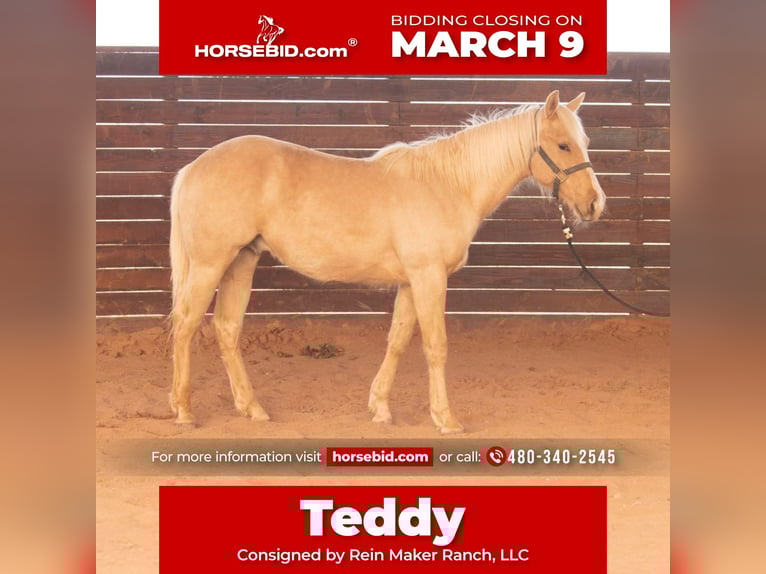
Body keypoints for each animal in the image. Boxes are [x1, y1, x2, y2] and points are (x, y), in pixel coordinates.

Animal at [168, 90, 606, 433]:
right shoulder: (429, 277)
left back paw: (252, 408)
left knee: (227, 329)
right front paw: (446, 419)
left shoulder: (411, 282)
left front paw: (380, 408)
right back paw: (184, 410)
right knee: (187, 326)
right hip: (210, 264)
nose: (595, 204)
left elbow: (397, 341)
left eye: (584, 140)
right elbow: (435, 345)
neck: (448, 184)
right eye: (563, 145)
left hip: (241, 261)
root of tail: (192, 168)